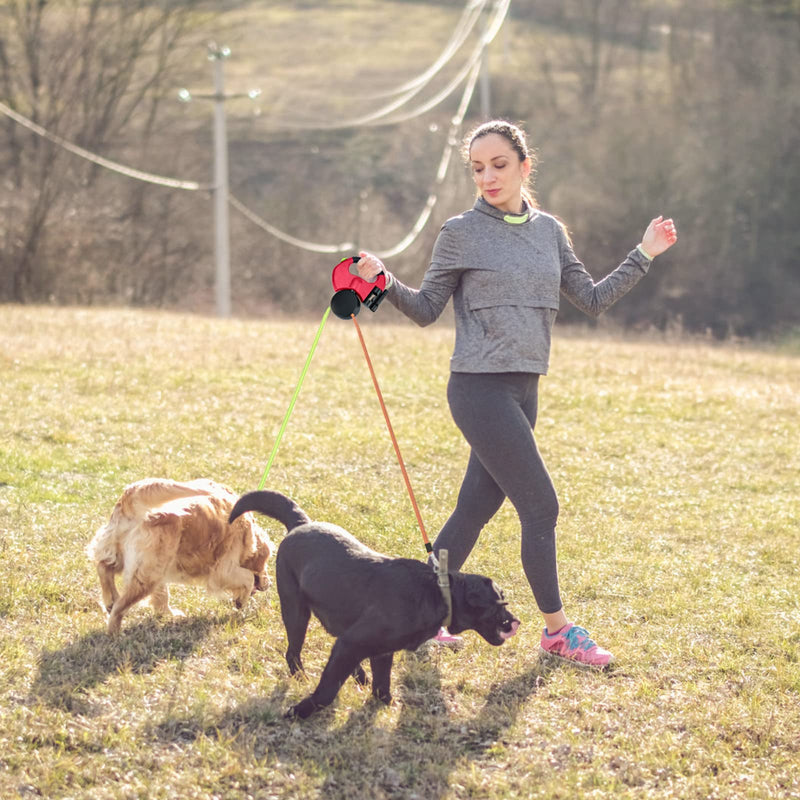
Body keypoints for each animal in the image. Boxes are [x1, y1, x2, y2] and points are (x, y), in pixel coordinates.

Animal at [88, 478, 276, 636]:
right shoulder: (223, 570)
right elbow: (248, 578)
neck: (247, 530)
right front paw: (240, 601)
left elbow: (161, 597)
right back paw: (114, 633)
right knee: (119, 607)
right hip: (146, 576)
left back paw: (110, 599)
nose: (269, 583)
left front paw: (167, 615)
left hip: (135, 560)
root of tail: (132, 495)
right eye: (266, 562)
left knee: (103, 566)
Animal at [228, 488, 520, 720]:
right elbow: (328, 688)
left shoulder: (380, 652)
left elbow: (382, 685)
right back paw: (302, 678)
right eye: (499, 604)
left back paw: (358, 676)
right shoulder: (353, 642)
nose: (516, 622)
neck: (437, 592)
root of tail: (301, 524)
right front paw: (301, 710)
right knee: (293, 652)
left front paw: (386, 704)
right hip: (296, 610)